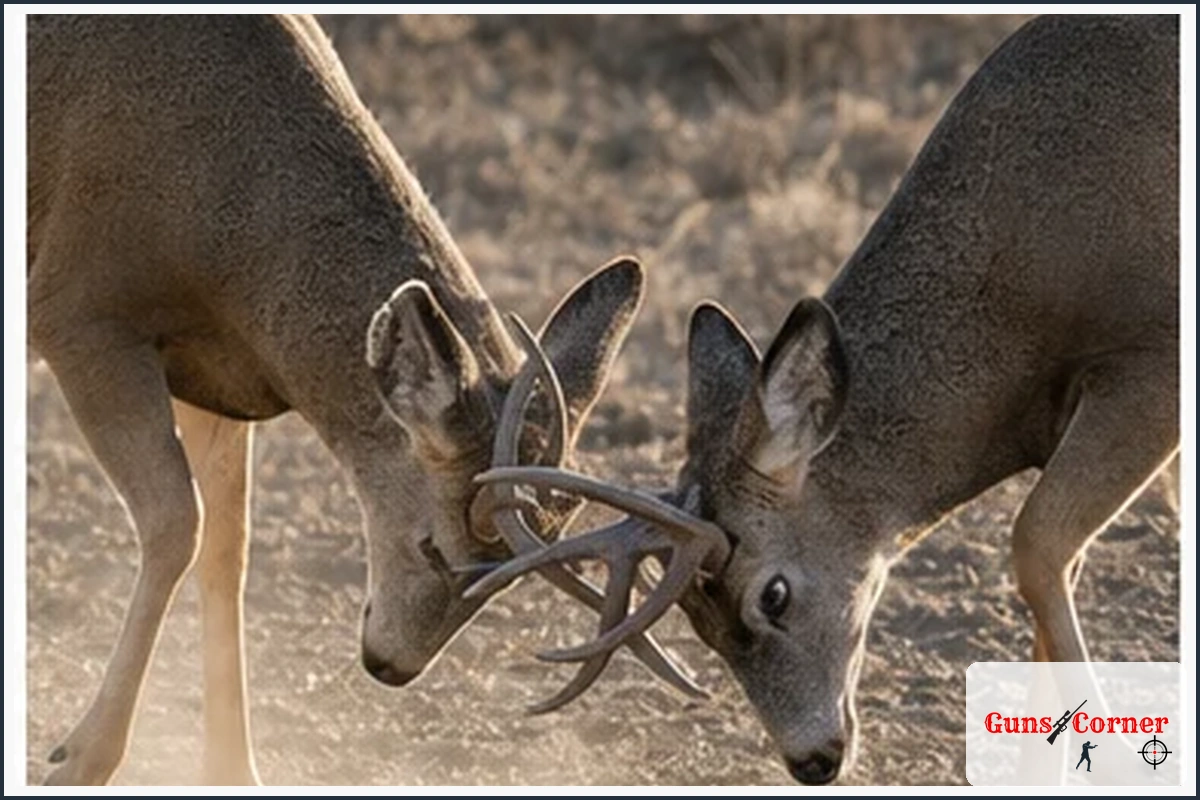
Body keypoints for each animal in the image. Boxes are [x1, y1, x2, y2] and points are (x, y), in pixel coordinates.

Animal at [27, 14, 701, 785]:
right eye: (432, 543)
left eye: (499, 581)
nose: (388, 666)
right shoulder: (78, 307)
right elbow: (177, 525)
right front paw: (81, 757)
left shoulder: (214, 372)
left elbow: (229, 549)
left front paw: (237, 767)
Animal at [465, 15, 1180, 785]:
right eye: (699, 622)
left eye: (771, 594)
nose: (811, 760)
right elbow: (1057, 566)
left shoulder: (1152, 364)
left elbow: (1036, 544)